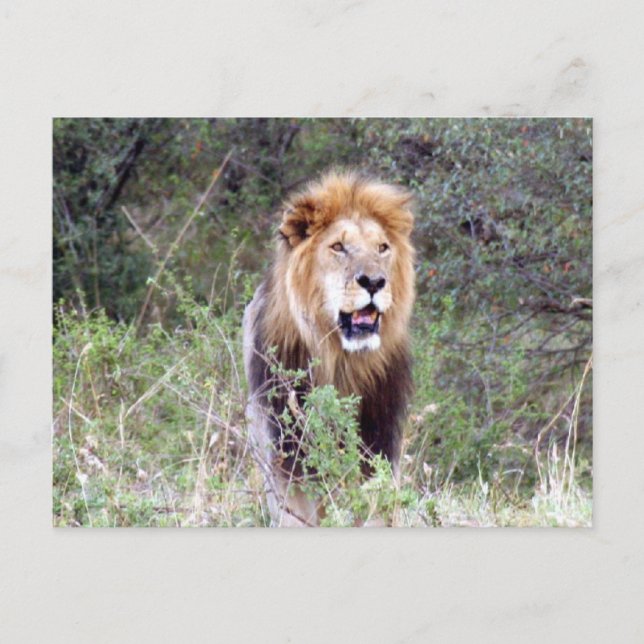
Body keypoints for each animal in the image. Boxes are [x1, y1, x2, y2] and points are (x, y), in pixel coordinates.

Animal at [243, 171, 415, 526]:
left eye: (382, 248)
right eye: (338, 247)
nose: (374, 282)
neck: (342, 363)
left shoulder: (378, 447)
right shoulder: (286, 460)